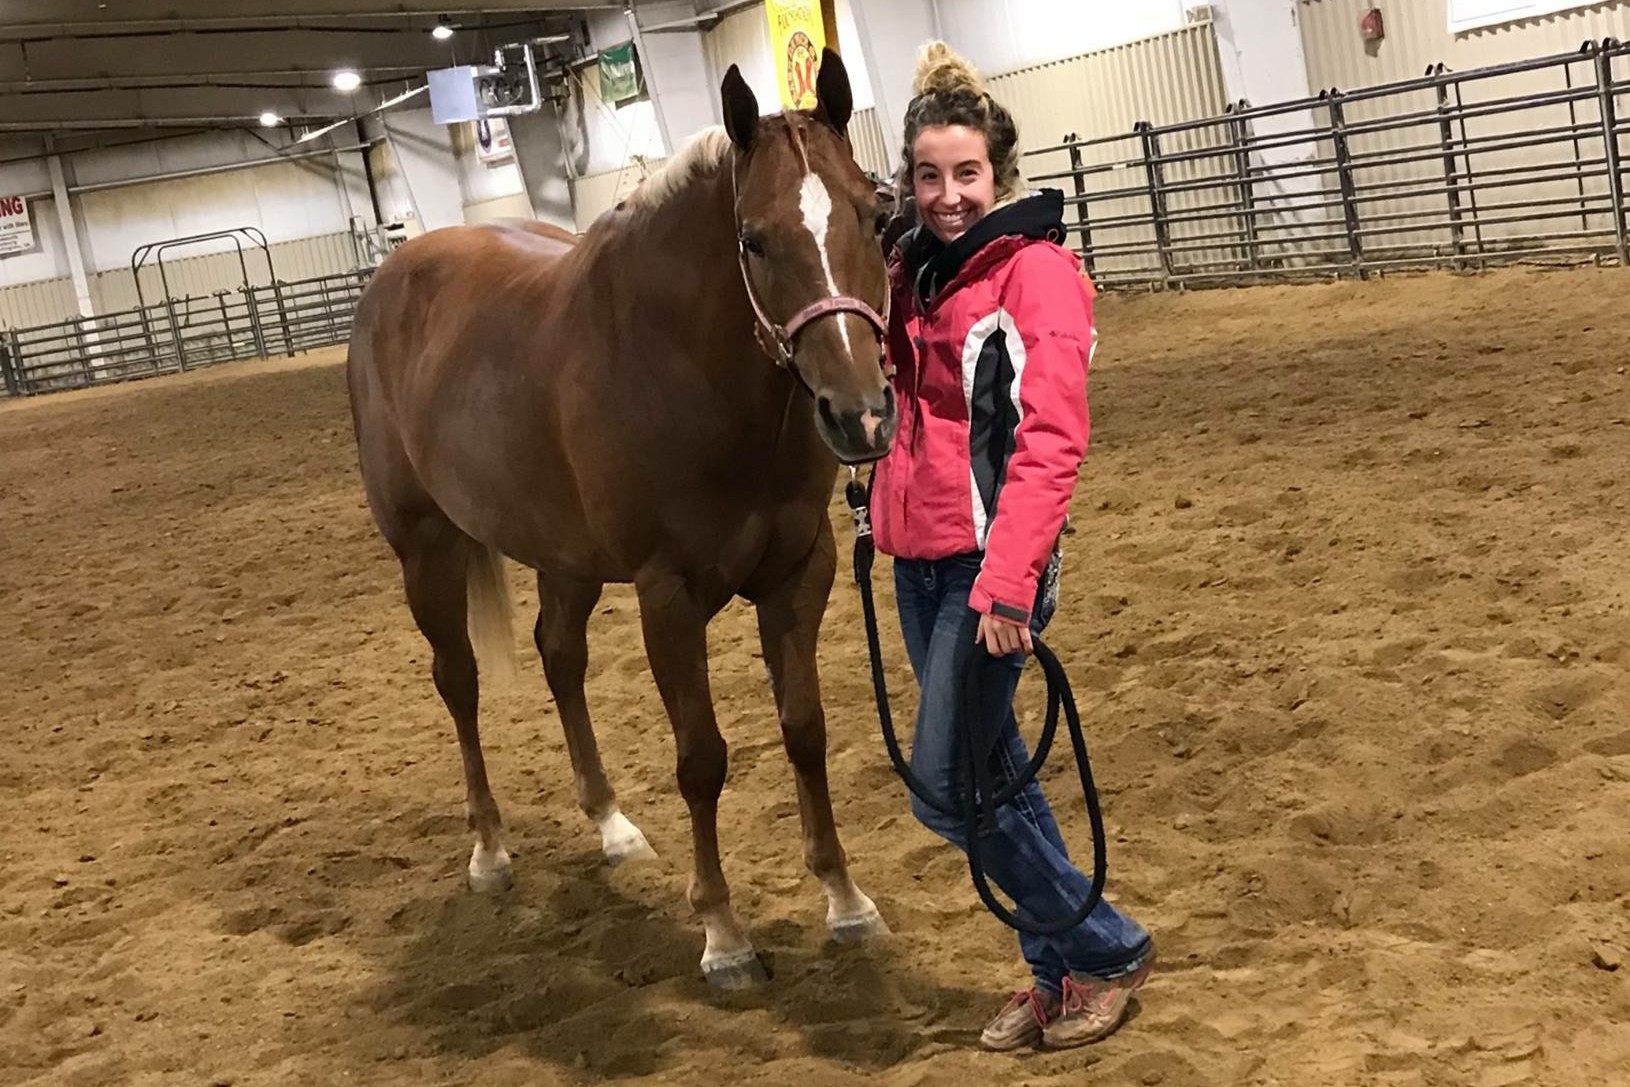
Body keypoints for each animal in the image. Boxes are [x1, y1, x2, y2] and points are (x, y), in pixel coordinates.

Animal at [345, 51, 897, 988]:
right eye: (753, 239)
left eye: (874, 213)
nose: (859, 415)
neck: (687, 361)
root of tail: (393, 274)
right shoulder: (665, 594)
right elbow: (702, 757)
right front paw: (723, 933)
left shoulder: (800, 570)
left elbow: (805, 730)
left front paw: (845, 897)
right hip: (425, 549)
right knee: (458, 680)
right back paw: (489, 849)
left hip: (561, 556)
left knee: (559, 658)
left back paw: (610, 824)